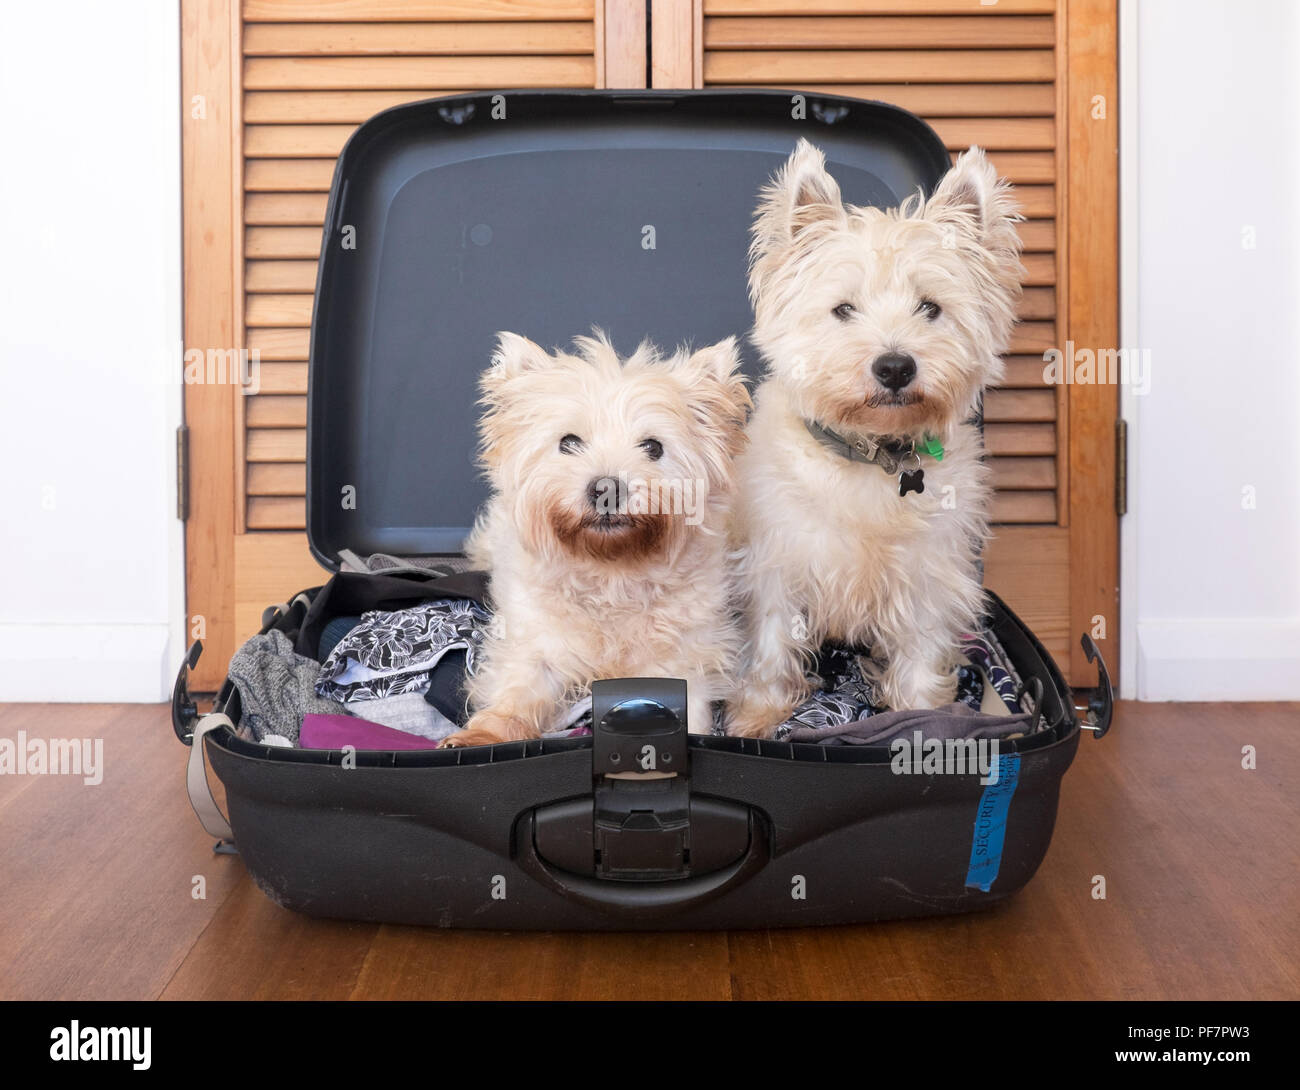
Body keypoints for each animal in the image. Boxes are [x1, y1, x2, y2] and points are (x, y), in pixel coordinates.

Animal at [441, 332, 754, 749]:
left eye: (653, 447)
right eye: (569, 442)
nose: (607, 488)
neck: (611, 570)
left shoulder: (687, 657)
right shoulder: (534, 643)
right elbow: (517, 691)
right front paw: (483, 735)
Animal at [728, 141, 1019, 744]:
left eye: (930, 307)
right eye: (843, 309)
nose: (895, 366)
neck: (873, 456)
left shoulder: (929, 574)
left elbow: (921, 652)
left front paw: (923, 713)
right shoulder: (774, 567)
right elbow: (771, 647)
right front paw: (758, 716)